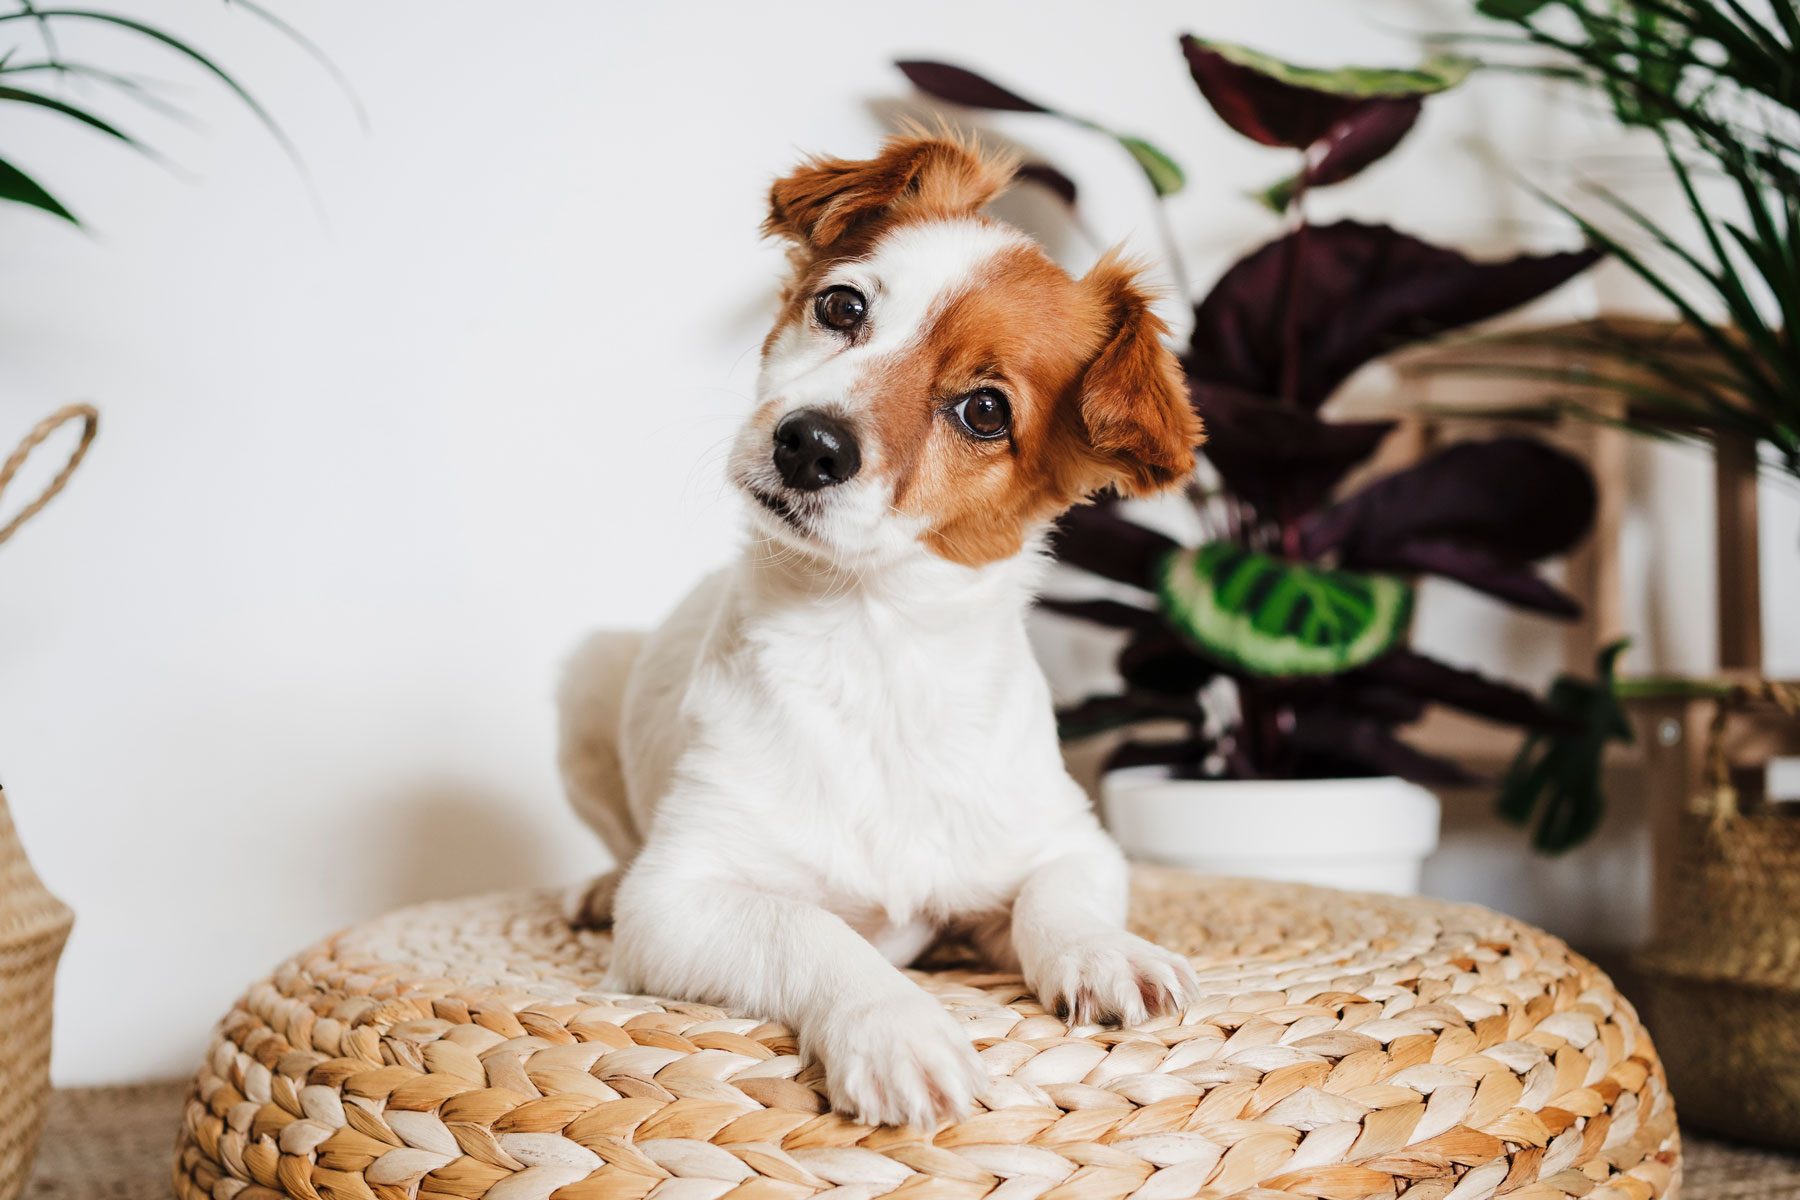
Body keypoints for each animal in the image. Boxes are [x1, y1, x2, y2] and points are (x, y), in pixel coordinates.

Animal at [558, 134, 1209, 1137]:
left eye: (986, 410)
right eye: (842, 306)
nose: (809, 444)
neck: (873, 641)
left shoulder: (1069, 840)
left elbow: (1058, 900)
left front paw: (1106, 951)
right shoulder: (676, 898)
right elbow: (809, 926)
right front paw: (899, 1028)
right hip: (587, 676)